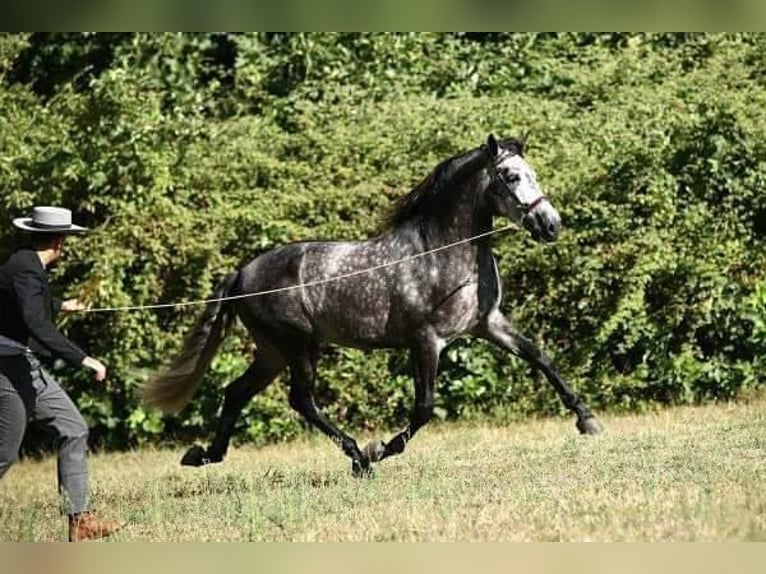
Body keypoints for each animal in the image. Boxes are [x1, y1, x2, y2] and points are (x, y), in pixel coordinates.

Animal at [141, 134, 604, 476]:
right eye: (509, 176)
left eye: (532, 173)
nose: (550, 225)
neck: (441, 253)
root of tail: (241, 274)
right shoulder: (426, 342)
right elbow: (424, 408)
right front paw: (381, 447)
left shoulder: (487, 323)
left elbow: (539, 356)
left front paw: (587, 419)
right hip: (298, 346)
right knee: (301, 400)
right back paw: (358, 458)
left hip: (272, 351)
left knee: (237, 392)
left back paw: (204, 455)